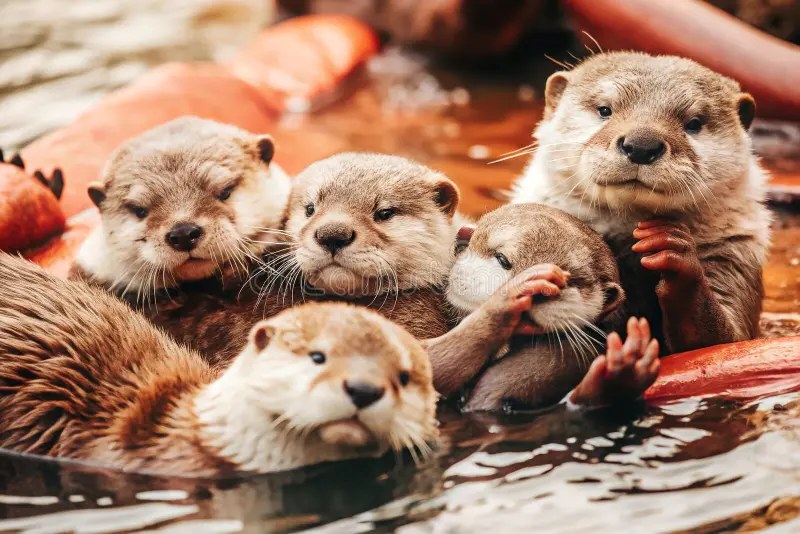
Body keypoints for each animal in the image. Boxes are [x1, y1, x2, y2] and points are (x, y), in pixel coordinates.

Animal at [511, 52, 771, 354]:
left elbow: (726, 338)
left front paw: (670, 245)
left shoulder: (735, 253)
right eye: (605, 110)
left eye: (693, 123)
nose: (642, 144)